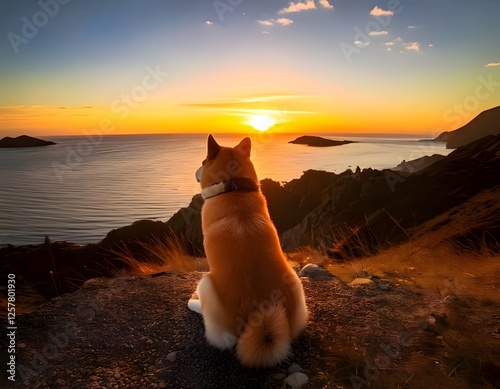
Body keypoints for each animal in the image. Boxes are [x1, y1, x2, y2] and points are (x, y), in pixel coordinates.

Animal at [187, 134, 306, 366]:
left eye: (204, 161)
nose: (195, 171)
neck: (234, 189)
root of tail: (259, 323)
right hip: (296, 281)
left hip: (206, 283)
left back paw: (194, 304)